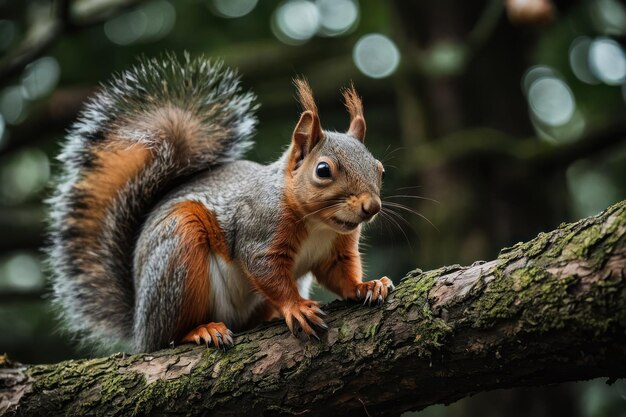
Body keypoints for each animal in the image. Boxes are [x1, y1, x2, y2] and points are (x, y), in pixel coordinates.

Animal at [48, 52, 392, 352]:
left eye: (380, 169)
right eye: (323, 171)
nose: (371, 207)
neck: (319, 224)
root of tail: (139, 328)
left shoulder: (336, 249)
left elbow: (340, 274)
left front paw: (366, 286)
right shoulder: (260, 231)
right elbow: (266, 271)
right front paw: (296, 307)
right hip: (178, 256)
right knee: (167, 337)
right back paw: (201, 330)